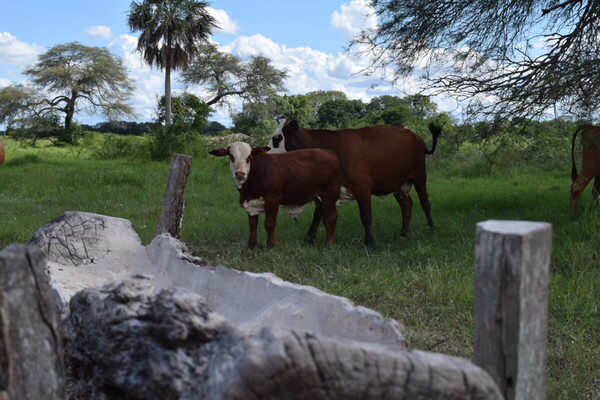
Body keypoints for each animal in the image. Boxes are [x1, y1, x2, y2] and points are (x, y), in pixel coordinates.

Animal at [210, 142, 342, 248]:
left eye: (249, 157)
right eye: (231, 156)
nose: (240, 174)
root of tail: (328, 152)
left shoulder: (272, 200)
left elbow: (269, 224)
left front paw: (270, 246)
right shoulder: (250, 203)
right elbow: (253, 225)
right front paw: (251, 246)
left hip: (329, 195)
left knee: (330, 217)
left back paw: (328, 245)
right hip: (318, 197)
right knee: (320, 214)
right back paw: (311, 239)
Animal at [268, 119, 440, 245]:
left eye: (277, 138)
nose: (266, 152)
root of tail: (416, 137)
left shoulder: (362, 186)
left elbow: (366, 215)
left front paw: (369, 241)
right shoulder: (325, 191)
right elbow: (318, 215)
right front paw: (309, 238)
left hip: (419, 176)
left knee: (425, 202)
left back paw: (432, 227)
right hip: (399, 184)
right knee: (407, 205)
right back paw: (404, 233)